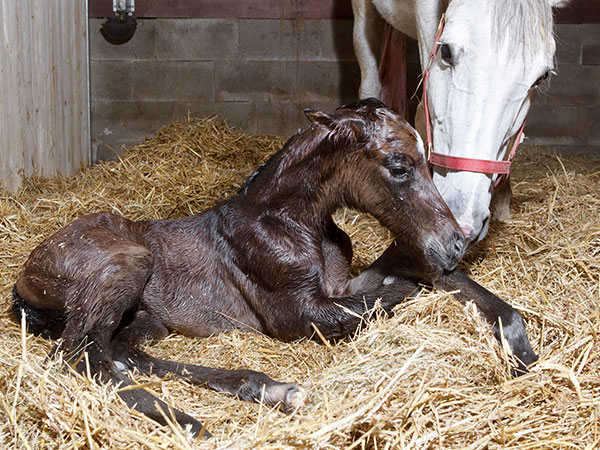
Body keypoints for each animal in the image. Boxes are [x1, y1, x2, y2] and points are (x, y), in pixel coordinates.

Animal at [10, 99, 536, 440]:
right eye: (399, 166)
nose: (455, 243)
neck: (289, 221)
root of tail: (23, 277)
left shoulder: (339, 285)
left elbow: (404, 278)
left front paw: (522, 352)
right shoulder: (296, 313)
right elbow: (388, 296)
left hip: (148, 319)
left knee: (121, 353)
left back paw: (269, 390)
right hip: (127, 264)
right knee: (74, 356)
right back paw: (192, 422)